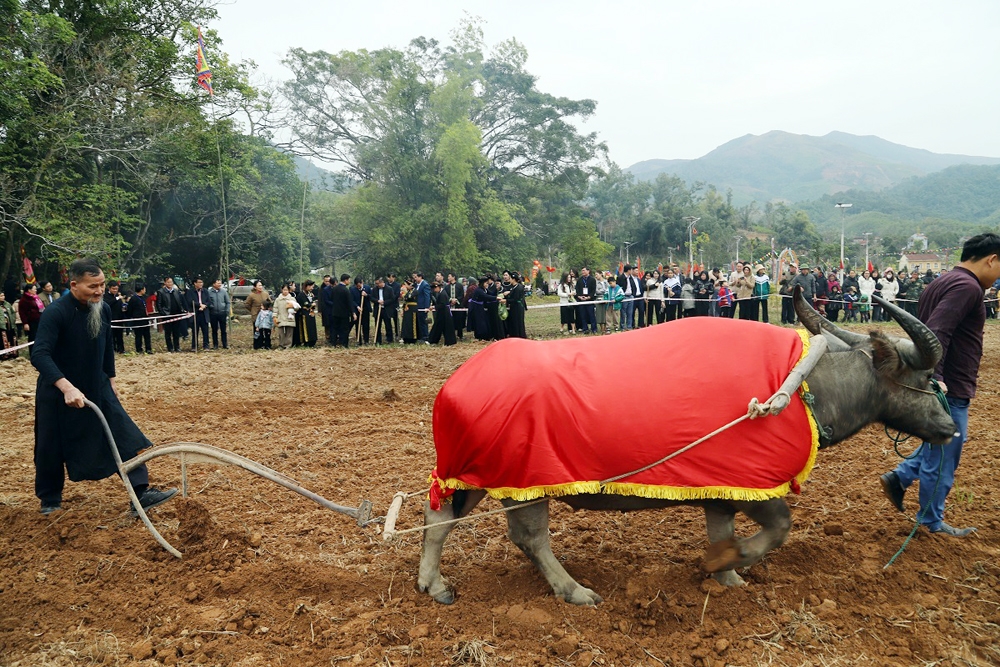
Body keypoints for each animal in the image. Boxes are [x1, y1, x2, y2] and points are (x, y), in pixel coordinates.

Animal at [418, 292, 956, 604]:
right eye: (924, 378)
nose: (950, 426)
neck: (799, 387)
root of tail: (454, 385)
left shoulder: (723, 491)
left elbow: (722, 529)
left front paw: (729, 576)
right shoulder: (755, 484)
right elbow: (779, 528)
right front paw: (728, 562)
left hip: (480, 476)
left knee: (439, 519)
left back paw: (434, 585)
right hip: (523, 483)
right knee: (529, 538)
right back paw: (575, 590)